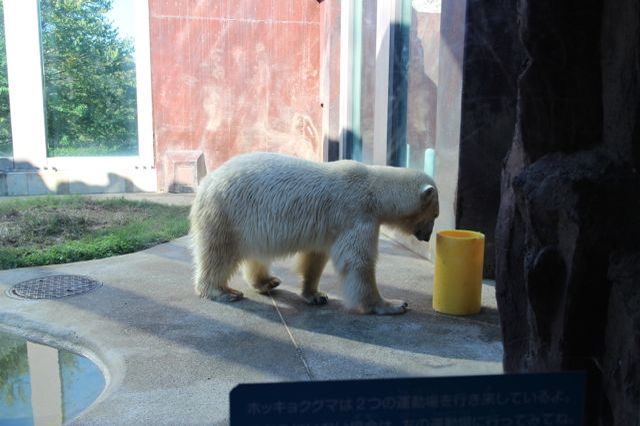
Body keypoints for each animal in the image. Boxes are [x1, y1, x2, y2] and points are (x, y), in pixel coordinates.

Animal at [190, 152, 440, 312]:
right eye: (435, 216)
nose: (427, 237)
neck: (373, 189)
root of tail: (205, 182)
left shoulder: (330, 225)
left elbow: (316, 257)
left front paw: (316, 295)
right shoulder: (356, 215)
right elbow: (357, 262)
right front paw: (392, 304)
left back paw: (267, 281)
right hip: (226, 213)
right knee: (219, 253)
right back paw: (222, 291)